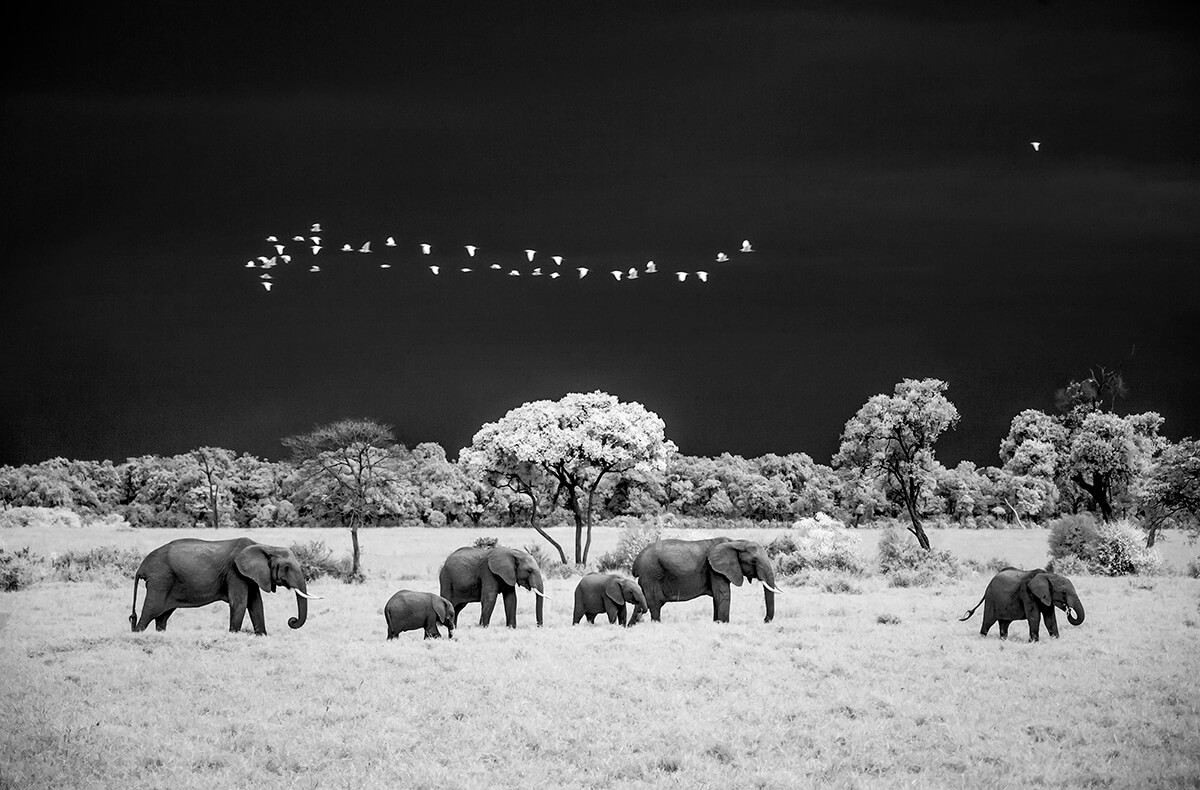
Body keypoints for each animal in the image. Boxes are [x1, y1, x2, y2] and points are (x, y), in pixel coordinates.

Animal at [130, 535, 319, 633]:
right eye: (286, 568)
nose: (292, 620)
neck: (264, 546)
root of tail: (141, 567)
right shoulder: (235, 572)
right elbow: (240, 603)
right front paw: (234, 635)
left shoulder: (249, 575)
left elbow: (256, 603)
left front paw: (262, 636)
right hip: (160, 579)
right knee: (151, 610)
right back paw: (138, 634)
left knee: (162, 615)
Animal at [633, 535, 782, 619]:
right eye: (754, 561)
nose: (765, 620)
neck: (736, 542)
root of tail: (636, 563)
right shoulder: (715, 570)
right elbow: (723, 595)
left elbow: (717, 598)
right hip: (651, 575)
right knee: (655, 606)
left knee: (641, 604)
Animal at [955, 561, 1089, 638]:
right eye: (1064, 593)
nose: (1068, 610)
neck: (1048, 575)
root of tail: (990, 582)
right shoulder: (1028, 593)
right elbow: (1035, 617)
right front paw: (1034, 642)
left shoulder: (1046, 597)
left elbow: (1050, 618)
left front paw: (1055, 639)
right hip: (991, 598)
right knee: (988, 621)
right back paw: (983, 637)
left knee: (1004, 623)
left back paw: (1003, 640)